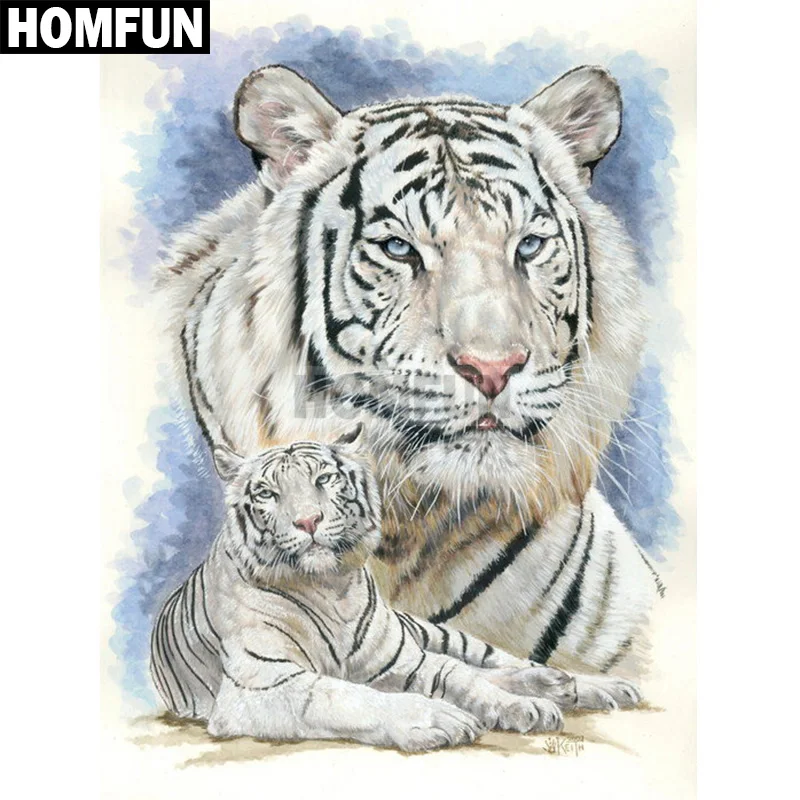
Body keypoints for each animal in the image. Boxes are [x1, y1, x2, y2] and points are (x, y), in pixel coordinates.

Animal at [150, 430, 641, 751]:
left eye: (324, 480)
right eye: (268, 494)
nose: (307, 521)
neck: (332, 588)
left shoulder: (403, 659)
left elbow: (458, 675)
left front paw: (520, 708)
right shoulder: (262, 684)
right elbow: (349, 696)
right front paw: (439, 718)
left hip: (436, 634)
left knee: (497, 661)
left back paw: (588, 686)